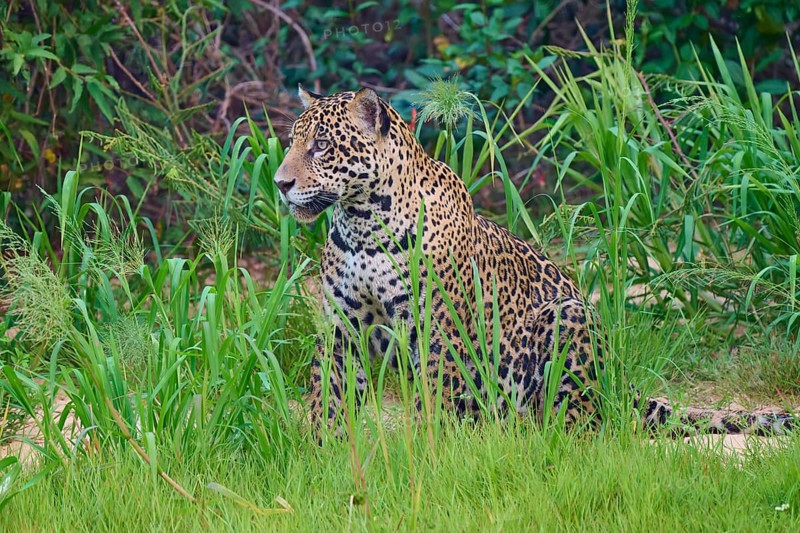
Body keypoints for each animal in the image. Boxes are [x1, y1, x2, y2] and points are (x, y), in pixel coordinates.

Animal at [273, 86, 796, 436]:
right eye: (293, 142)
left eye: (322, 146)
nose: (279, 183)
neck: (365, 223)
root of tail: (619, 382)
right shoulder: (342, 326)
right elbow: (327, 393)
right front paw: (322, 452)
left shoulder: (436, 326)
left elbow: (432, 397)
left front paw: (425, 451)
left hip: (568, 318)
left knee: (583, 425)